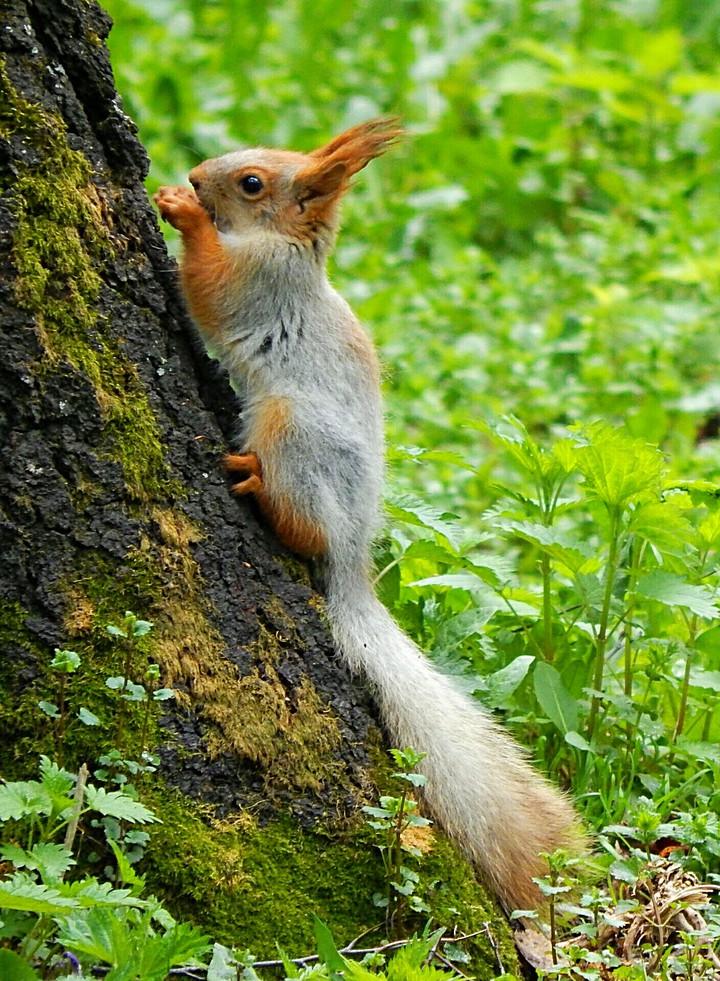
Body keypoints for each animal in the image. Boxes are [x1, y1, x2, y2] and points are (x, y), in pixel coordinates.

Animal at [154, 118, 582, 913]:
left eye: (252, 183)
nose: (197, 175)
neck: (289, 248)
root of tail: (352, 561)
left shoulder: (259, 283)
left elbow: (211, 290)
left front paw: (183, 213)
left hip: (291, 429)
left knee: (302, 525)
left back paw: (260, 490)